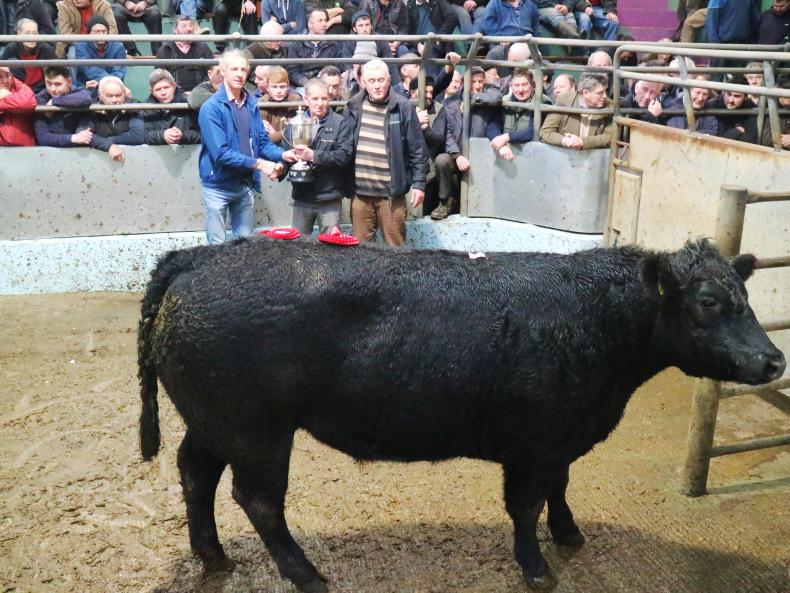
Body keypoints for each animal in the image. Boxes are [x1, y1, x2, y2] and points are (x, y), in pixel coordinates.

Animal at [137, 238, 785, 593]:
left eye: (748, 299)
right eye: (708, 302)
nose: (774, 359)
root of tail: (199, 256)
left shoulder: (563, 436)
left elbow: (561, 488)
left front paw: (569, 533)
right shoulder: (534, 444)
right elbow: (525, 507)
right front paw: (537, 567)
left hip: (214, 422)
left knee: (195, 473)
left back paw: (213, 556)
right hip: (257, 430)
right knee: (260, 501)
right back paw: (309, 576)